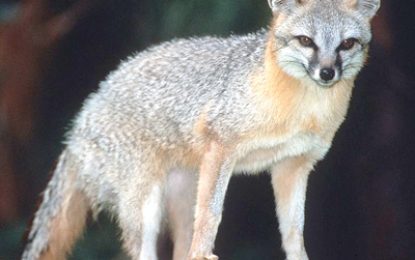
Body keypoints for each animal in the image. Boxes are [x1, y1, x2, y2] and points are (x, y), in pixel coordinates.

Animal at [22, 0, 380, 260]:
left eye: (347, 44)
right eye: (306, 41)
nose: (327, 73)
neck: (301, 111)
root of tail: (78, 124)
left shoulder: (292, 165)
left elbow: (294, 230)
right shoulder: (221, 147)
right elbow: (211, 214)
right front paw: (205, 252)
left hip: (182, 197)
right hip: (146, 205)